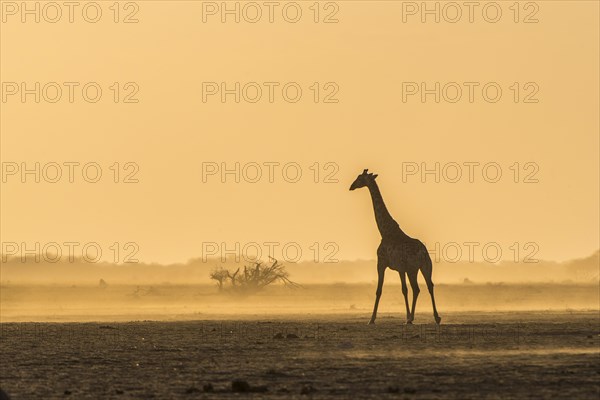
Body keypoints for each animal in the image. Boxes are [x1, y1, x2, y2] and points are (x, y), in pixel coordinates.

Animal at [350, 169, 442, 324]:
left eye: (360, 178)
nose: (351, 186)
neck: (385, 231)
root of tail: (423, 252)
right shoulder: (400, 268)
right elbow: (402, 290)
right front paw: (408, 317)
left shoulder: (384, 264)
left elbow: (384, 290)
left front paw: (372, 319)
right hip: (422, 267)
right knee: (426, 286)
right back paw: (434, 317)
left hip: (414, 268)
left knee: (418, 288)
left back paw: (415, 318)